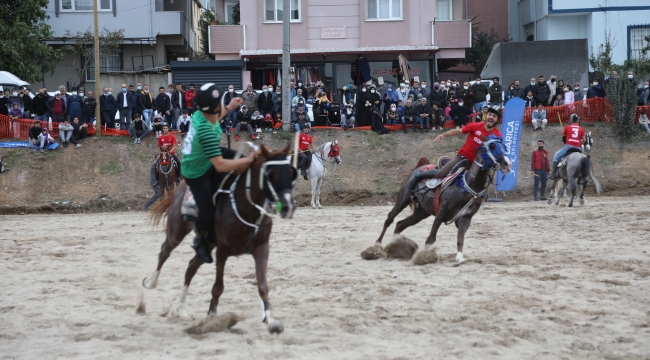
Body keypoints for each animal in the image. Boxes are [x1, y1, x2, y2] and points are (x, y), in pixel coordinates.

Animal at [143, 143, 294, 334]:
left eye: (291, 172)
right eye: (271, 175)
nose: (288, 206)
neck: (247, 208)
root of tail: (181, 186)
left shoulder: (262, 248)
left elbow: (262, 286)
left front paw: (271, 320)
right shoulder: (222, 251)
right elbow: (217, 288)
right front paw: (212, 318)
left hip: (207, 246)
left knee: (191, 267)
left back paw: (181, 308)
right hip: (176, 233)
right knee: (164, 252)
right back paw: (151, 283)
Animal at [374, 136, 512, 262]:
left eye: (504, 147)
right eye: (492, 146)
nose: (507, 164)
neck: (468, 185)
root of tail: (420, 166)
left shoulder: (466, 217)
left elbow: (460, 238)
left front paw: (459, 258)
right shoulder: (442, 211)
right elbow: (431, 238)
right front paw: (425, 255)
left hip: (421, 212)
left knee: (400, 224)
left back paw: (396, 245)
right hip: (403, 200)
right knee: (390, 219)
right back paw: (377, 246)